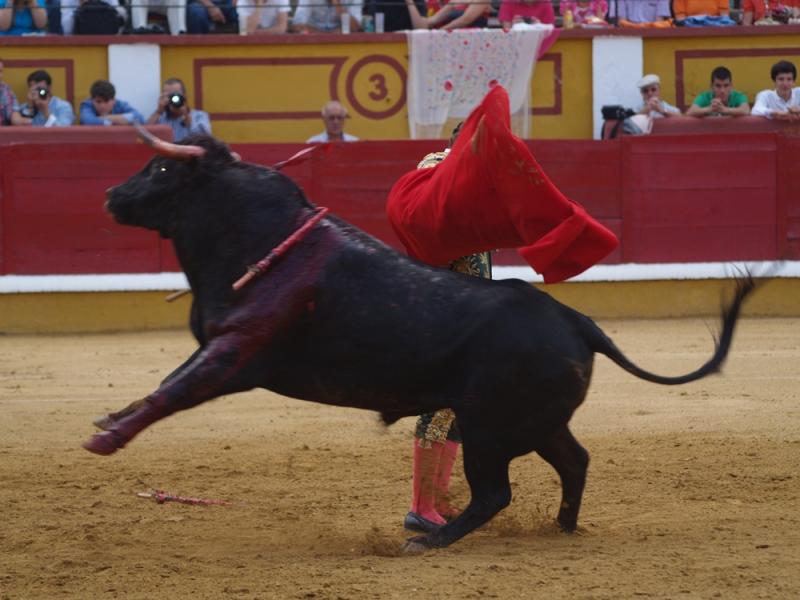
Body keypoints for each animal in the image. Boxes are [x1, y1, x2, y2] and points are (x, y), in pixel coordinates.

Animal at [87, 134, 756, 552]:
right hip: (536, 422)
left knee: (495, 491)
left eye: (161, 168)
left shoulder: (237, 349)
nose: (111, 196)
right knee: (574, 461)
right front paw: (110, 421)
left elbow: (173, 390)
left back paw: (429, 538)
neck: (261, 236)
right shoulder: (224, 347)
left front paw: (106, 436)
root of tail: (577, 321)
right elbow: (168, 383)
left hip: (491, 426)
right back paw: (561, 526)